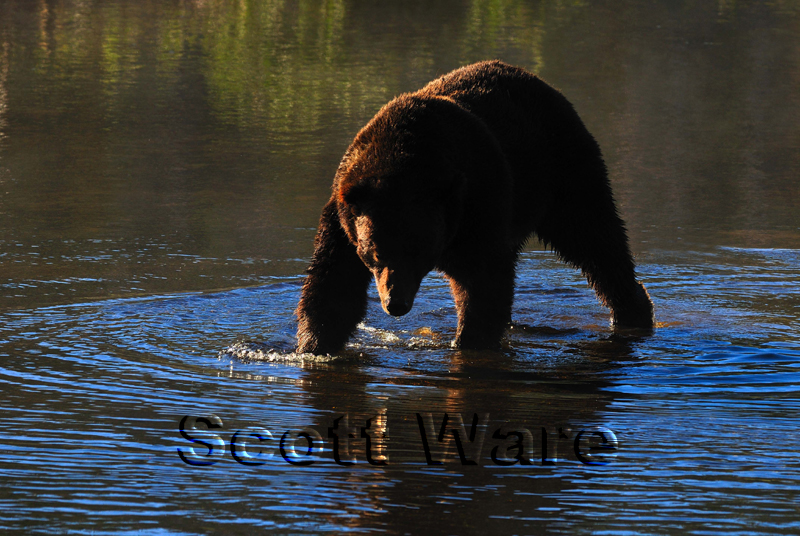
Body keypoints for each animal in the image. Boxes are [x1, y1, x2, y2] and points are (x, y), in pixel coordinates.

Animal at [295, 60, 654, 355]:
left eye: (418, 252)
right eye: (375, 254)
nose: (395, 304)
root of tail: (540, 82)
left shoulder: (476, 205)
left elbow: (482, 283)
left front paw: (468, 341)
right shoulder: (343, 219)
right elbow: (332, 285)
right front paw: (314, 345)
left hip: (562, 171)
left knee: (596, 239)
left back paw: (633, 310)